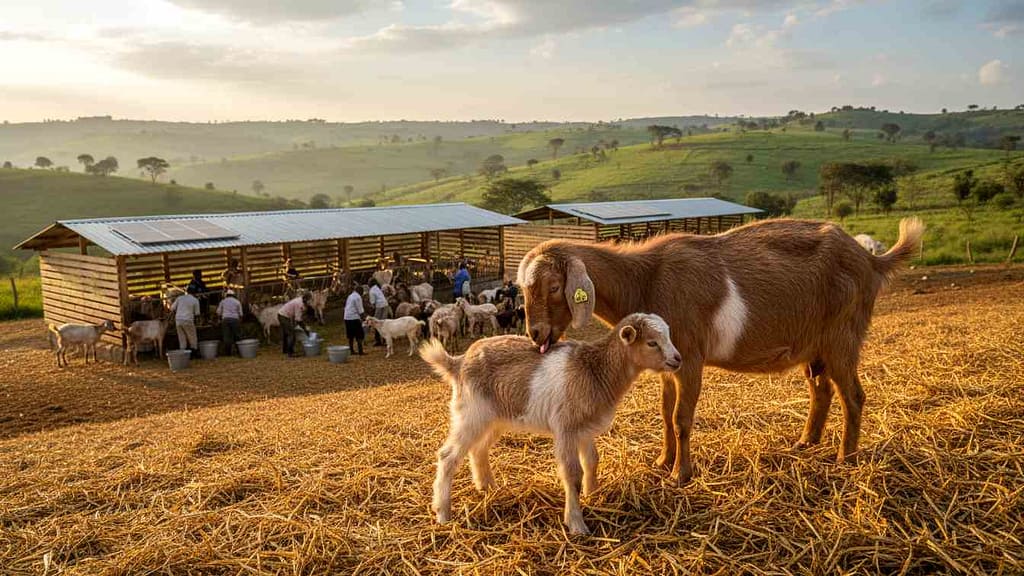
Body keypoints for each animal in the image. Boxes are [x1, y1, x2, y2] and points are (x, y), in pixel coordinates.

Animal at [421, 313, 681, 535]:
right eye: (652, 343)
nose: (677, 359)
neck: (595, 369)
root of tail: (458, 362)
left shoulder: (584, 429)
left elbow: (592, 461)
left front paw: (593, 493)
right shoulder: (566, 428)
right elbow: (572, 473)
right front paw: (576, 523)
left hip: (494, 418)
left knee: (478, 449)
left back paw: (488, 488)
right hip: (470, 414)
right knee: (448, 456)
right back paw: (443, 513)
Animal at [518, 217, 924, 485]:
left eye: (553, 286)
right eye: (522, 288)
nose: (535, 333)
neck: (646, 278)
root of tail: (870, 260)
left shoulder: (690, 357)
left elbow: (681, 418)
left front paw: (681, 475)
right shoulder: (667, 362)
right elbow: (664, 413)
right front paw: (663, 461)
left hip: (842, 338)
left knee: (853, 395)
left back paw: (845, 458)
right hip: (814, 345)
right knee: (820, 390)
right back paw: (805, 442)